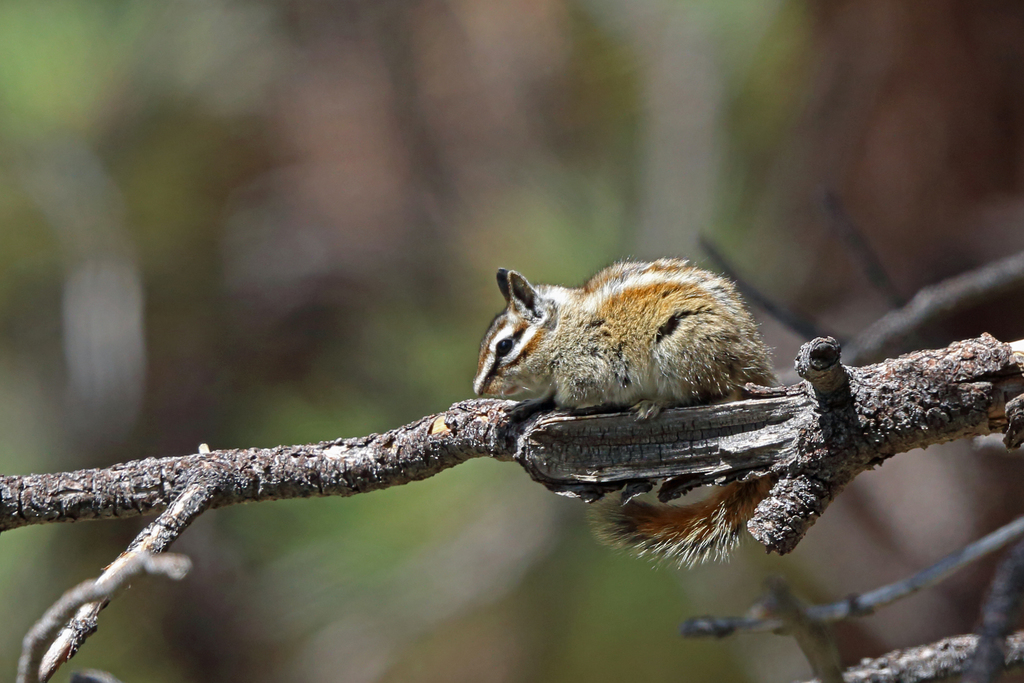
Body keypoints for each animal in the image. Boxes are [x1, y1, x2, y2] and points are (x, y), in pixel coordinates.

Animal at [473, 259, 776, 566]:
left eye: (504, 345)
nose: (478, 387)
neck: (562, 330)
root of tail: (754, 363)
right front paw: (532, 404)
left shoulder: (587, 371)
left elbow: (566, 399)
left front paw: (556, 406)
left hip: (682, 351)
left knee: (709, 394)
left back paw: (655, 403)